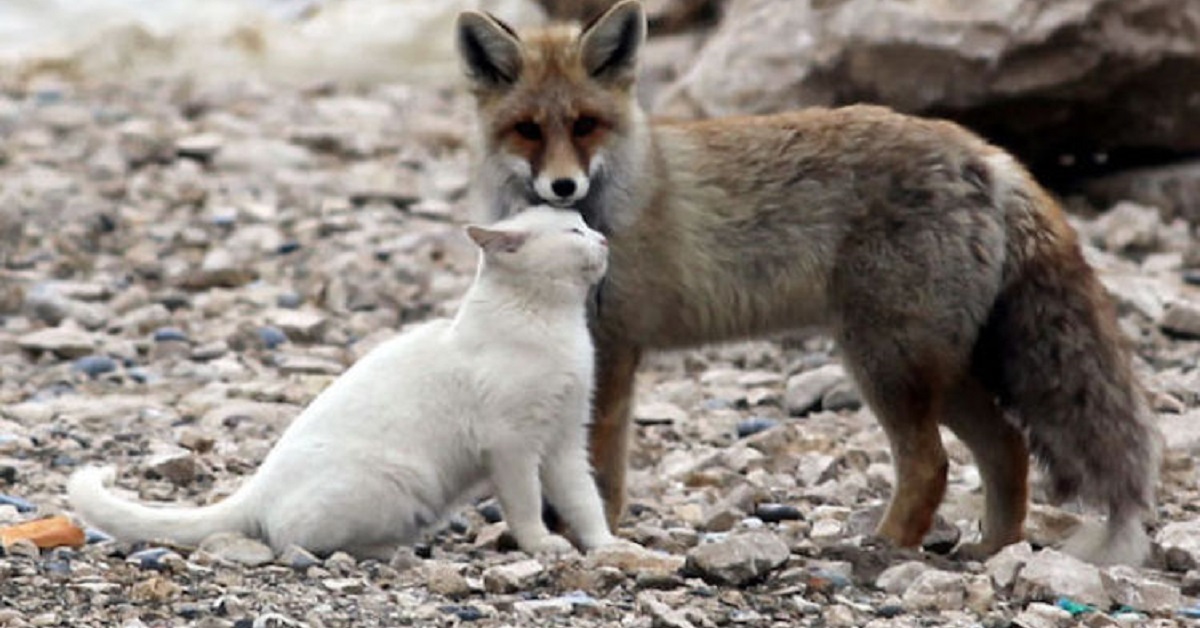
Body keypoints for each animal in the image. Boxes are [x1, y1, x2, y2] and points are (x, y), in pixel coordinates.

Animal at [70, 206, 619, 559]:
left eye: (587, 223)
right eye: (574, 230)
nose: (604, 239)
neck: (556, 325)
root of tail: (257, 485)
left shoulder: (565, 442)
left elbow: (584, 502)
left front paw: (608, 546)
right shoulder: (512, 447)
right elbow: (526, 505)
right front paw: (543, 545)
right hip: (398, 482)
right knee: (295, 540)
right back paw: (391, 550)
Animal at [451, 0, 1161, 564]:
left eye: (585, 125)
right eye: (527, 130)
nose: (563, 186)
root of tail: (987, 153)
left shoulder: (618, 344)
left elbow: (600, 467)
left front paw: (593, 534)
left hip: (886, 362)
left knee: (930, 464)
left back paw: (883, 547)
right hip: (936, 366)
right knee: (1007, 447)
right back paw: (995, 551)